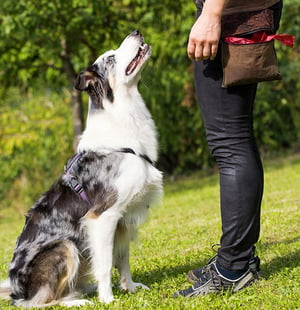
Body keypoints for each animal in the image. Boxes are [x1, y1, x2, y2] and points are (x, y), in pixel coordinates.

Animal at [0, 30, 163, 306]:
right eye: (110, 58)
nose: (136, 32)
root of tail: (17, 291)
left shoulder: (122, 218)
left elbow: (123, 259)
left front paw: (129, 287)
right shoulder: (103, 216)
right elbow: (106, 264)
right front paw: (108, 299)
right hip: (65, 247)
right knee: (39, 302)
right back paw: (77, 300)